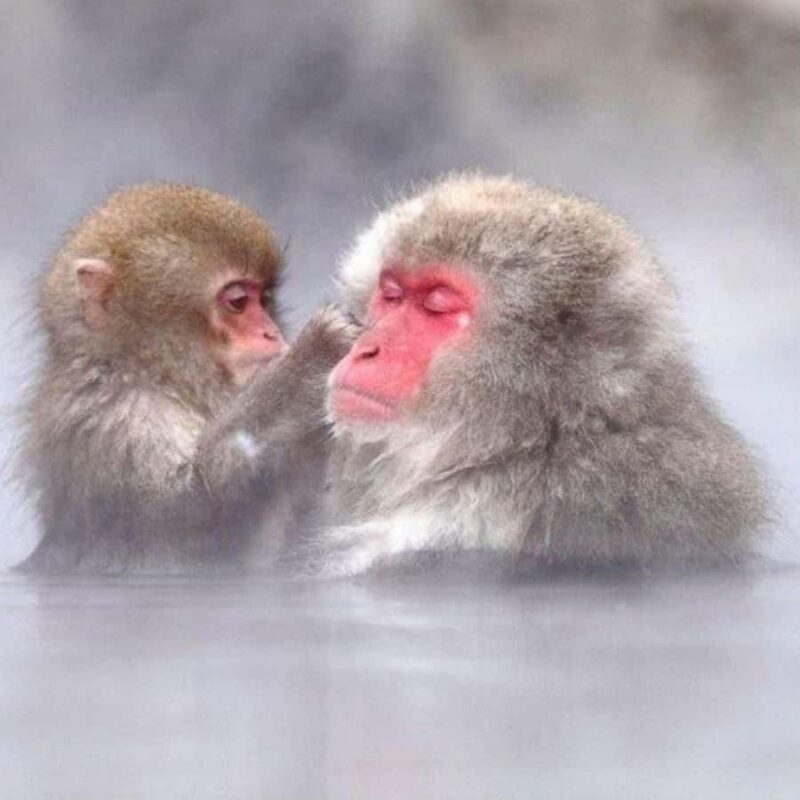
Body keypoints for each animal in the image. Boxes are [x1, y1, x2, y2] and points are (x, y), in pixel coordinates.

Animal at [17, 183, 353, 574]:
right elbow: (189, 512)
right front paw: (313, 358)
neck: (156, 376)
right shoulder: (118, 420)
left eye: (265, 298)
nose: (271, 332)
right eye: (238, 301)